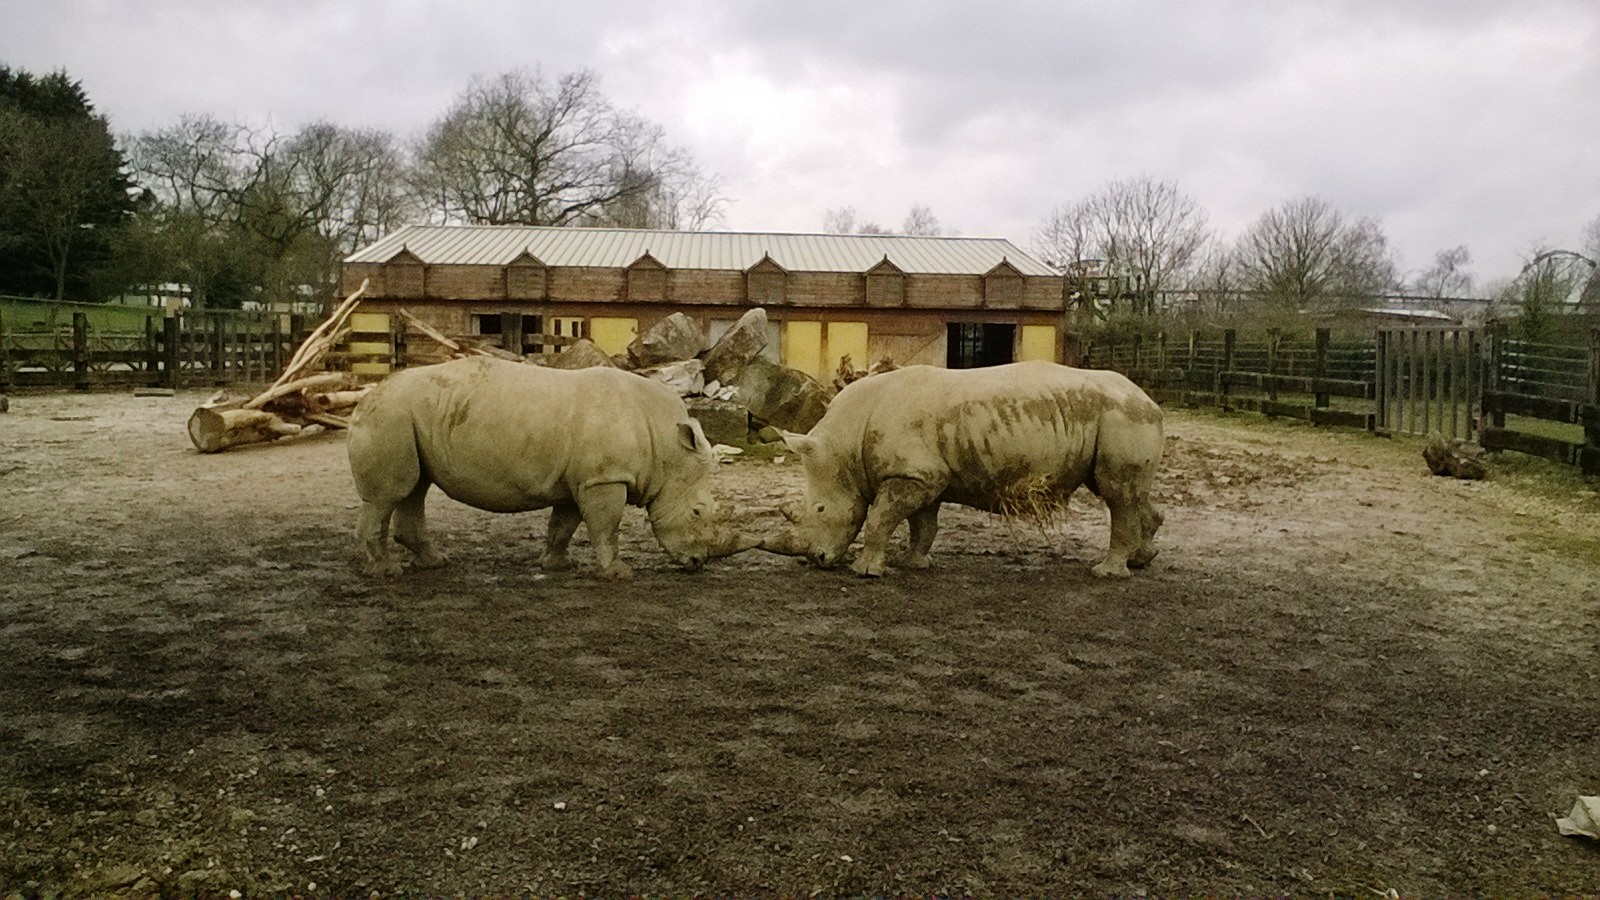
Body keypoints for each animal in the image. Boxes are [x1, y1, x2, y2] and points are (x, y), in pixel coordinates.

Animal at [347, 356, 757, 579]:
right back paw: (386, 572)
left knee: (415, 488)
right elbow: (607, 526)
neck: (666, 446)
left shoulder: (582, 480)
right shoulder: (605, 478)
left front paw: (558, 566)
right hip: (390, 415)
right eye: (698, 511)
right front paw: (618, 574)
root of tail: (364, 398)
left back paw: (434, 564)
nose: (697, 563)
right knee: (388, 495)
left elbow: (564, 525)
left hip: (409, 417)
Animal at [760, 361, 1164, 579]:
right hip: (1121, 417)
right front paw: (915, 564)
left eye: (820, 509)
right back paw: (1140, 561)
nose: (818, 561)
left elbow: (879, 519)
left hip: (1123, 415)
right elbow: (923, 524)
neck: (845, 442)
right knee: (1128, 493)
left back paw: (1106, 573)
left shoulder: (911, 475)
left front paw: (866, 572)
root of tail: (1151, 400)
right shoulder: (923, 476)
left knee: (1116, 493)